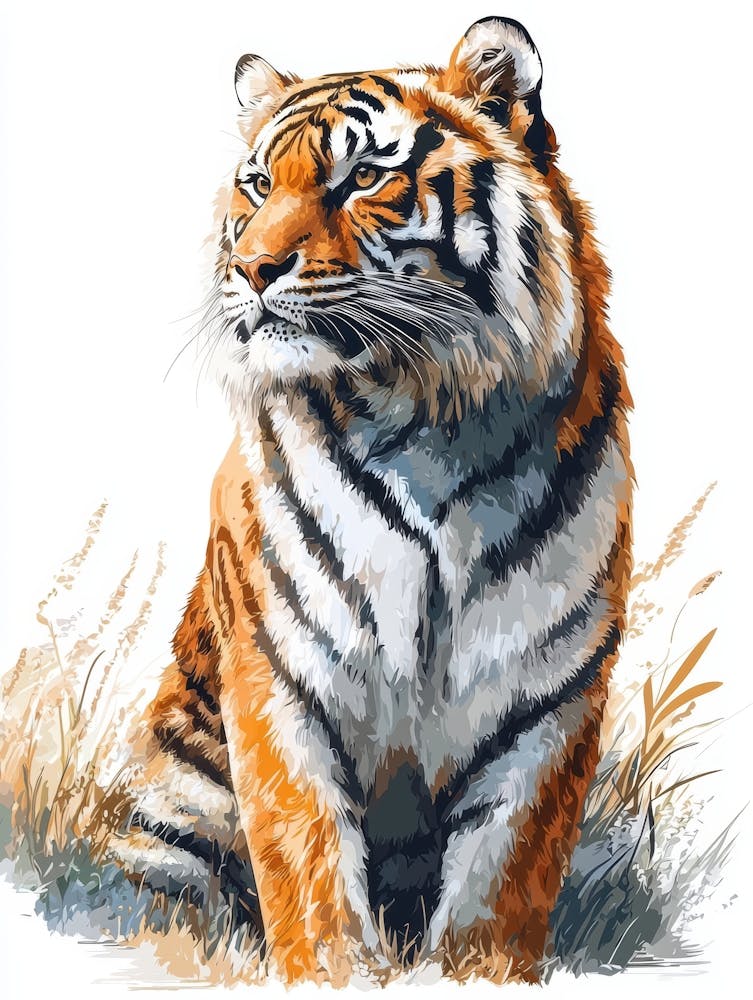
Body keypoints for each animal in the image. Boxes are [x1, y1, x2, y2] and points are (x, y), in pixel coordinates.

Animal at [108, 16, 633, 985]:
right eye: (256, 185)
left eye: (360, 179)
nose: (253, 267)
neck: (420, 418)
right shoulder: (279, 680)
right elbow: (307, 873)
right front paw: (333, 972)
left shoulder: (543, 701)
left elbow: (497, 899)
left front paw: (470, 974)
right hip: (171, 799)